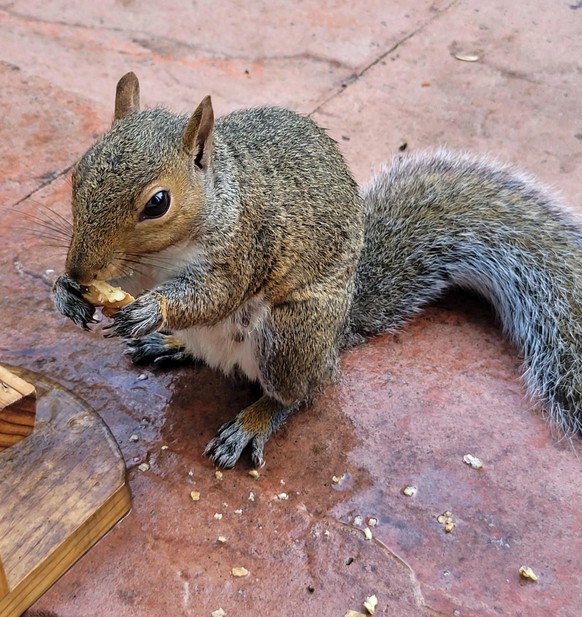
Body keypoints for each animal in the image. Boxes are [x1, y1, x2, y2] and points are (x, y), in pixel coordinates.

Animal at [53, 71, 582, 466]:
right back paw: (173, 344)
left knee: (302, 393)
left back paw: (254, 420)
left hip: (291, 337)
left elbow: (215, 294)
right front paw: (66, 293)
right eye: (78, 172)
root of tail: (335, 343)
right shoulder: (133, 272)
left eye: (158, 203)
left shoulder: (248, 246)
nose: (78, 269)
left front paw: (150, 311)